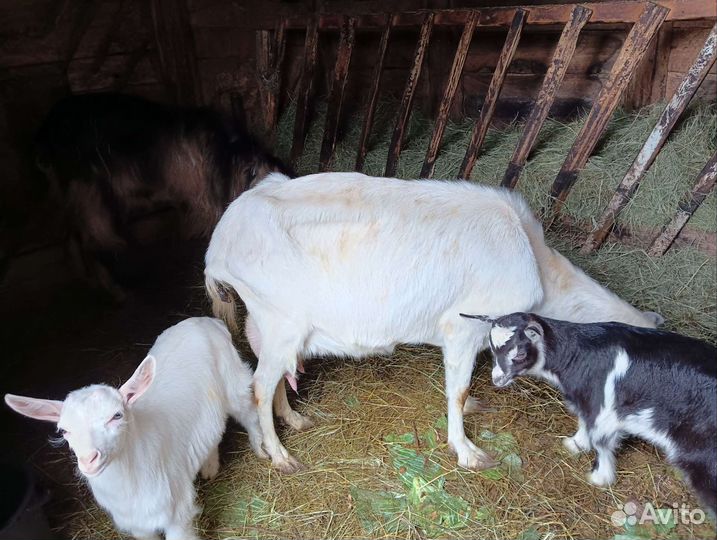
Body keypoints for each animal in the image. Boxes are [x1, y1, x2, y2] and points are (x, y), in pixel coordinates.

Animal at [5, 317, 266, 540]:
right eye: (64, 430)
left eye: (116, 415)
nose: (89, 460)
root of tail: (206, 320)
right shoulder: (138, 526)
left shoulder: (177, 514)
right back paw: (210, 467)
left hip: (233, 381)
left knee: (249, 412)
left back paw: (261, 449)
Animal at [35, 93, 291, 300]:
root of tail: (46, 133)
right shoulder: (208, 198)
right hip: (88, 193)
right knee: (93, 240)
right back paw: (117, 289)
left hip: (70, 195)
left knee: (71, 236)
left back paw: (88, 280)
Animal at [204, 172, 662, 474]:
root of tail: (219, 243)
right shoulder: (464, 325)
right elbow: (457, 391)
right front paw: (467, 451)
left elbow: (464, 385)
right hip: (282, 322)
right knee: (260, 386)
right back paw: (281, 456)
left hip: (270, 325)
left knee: (275, 374)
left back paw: (295, 420)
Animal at [464, 311, 716, 515]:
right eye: (492, 350)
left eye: (518, 355)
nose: (497, 380)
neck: (578, 354)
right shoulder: (589, 403)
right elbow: (585, 425)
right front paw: (575, 444)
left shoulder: (603, 410)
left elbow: (600, 441)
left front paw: (600, 478)